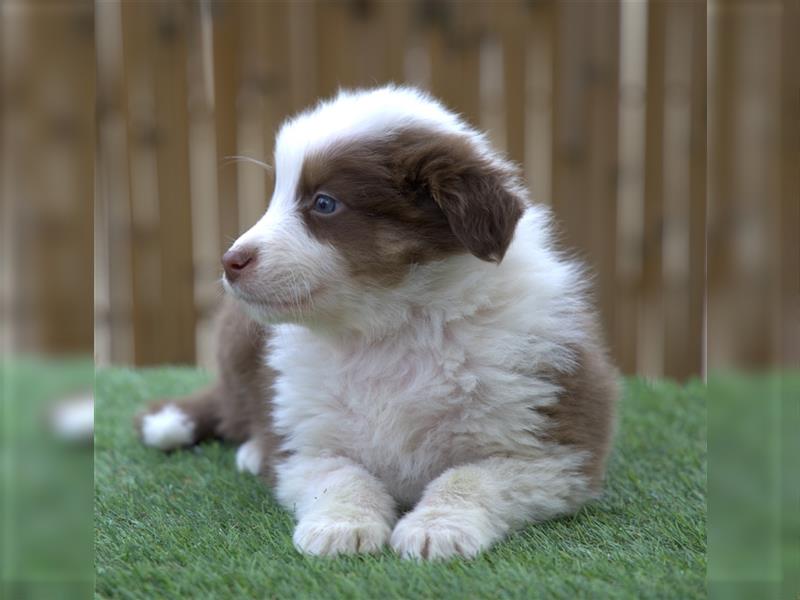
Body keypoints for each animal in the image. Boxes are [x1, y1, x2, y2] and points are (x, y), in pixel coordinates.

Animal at [138, 86, 620, 560]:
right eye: (275, 196)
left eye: (324, 203)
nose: (230, 261)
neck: (392, 328)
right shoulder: (305, 439)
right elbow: (342, 477)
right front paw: (342, 527)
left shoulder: (555, 450)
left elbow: (470, 478)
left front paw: (436, 528)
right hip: (238, 339)